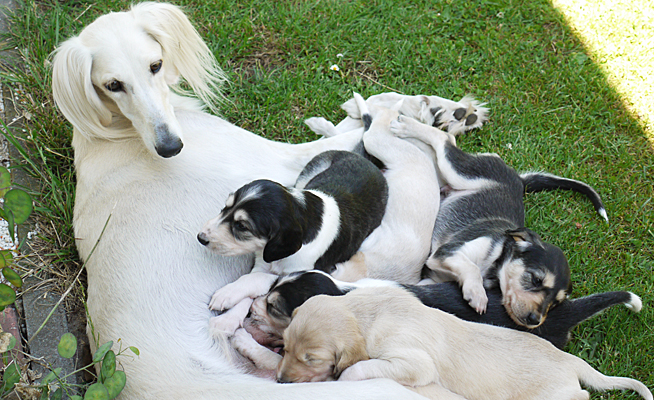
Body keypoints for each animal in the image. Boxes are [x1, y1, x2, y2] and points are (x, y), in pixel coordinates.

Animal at [197, 150, 386, 334]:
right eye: (225, 208)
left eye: (242, 226)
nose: (200, 237)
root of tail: (366, 160)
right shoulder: (262, 264)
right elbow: (250, 285)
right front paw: (226, 320)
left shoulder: (305, 272)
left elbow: (256, 279)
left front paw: (226, 294)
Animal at [280, 286, 652, 400]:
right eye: (283, 345)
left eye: (312, 358)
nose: (280, 381)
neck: (365, 312)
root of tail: (569, 360)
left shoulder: (414, 362)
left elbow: (360, 367)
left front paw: (343, 376)